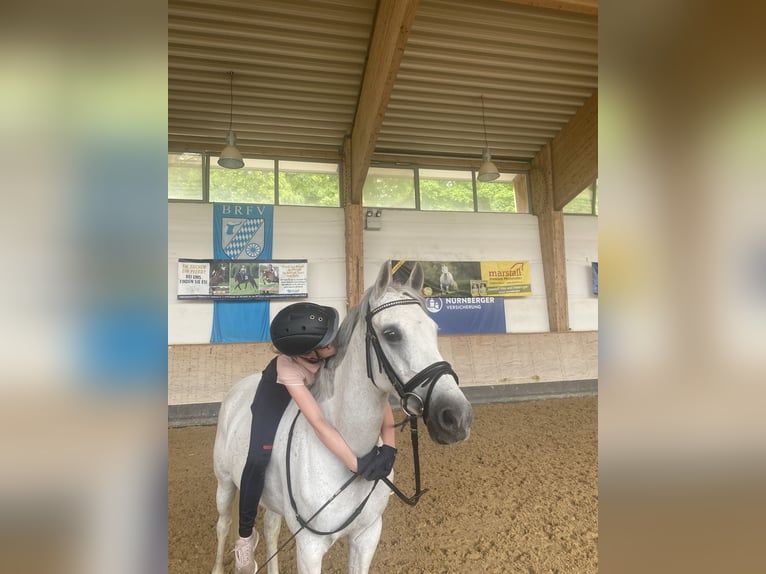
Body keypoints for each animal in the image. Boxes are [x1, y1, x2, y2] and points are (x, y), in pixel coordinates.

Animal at [210, 262, 474, 574]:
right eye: (392, 333)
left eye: (434, 330)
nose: (457, 417)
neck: (353, 454)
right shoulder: (309, 547)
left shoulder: (367, 534)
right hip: (226, 484)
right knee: (224, 525)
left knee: (271, 527)